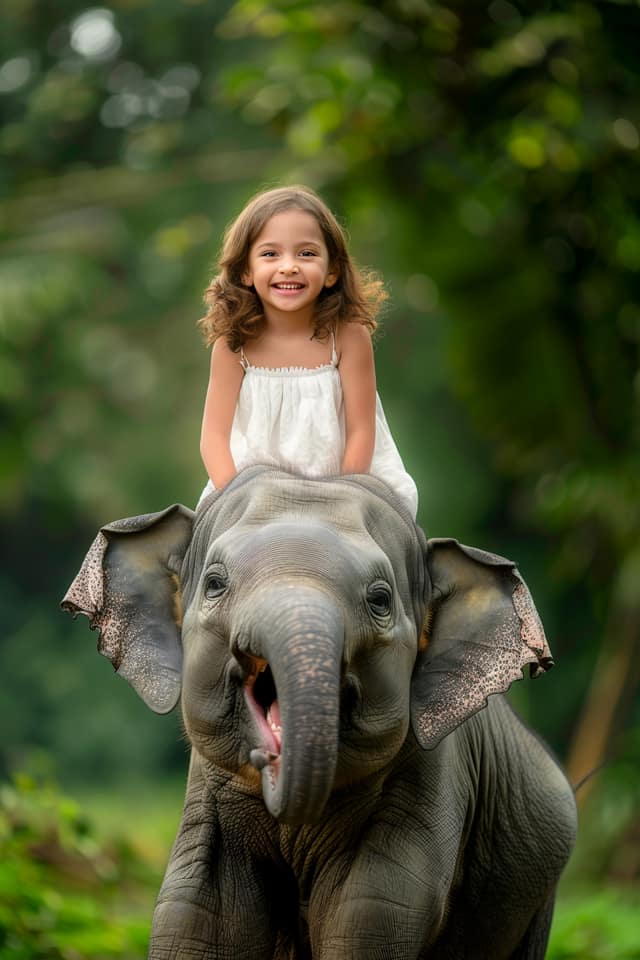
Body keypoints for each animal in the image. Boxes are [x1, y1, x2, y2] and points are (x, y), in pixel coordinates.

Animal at [62, 465, 577, 959]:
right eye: (214, 584)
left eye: (380, 600)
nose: (272, 760)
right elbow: (202, 918)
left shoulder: (433, 778)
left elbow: (369, 912)